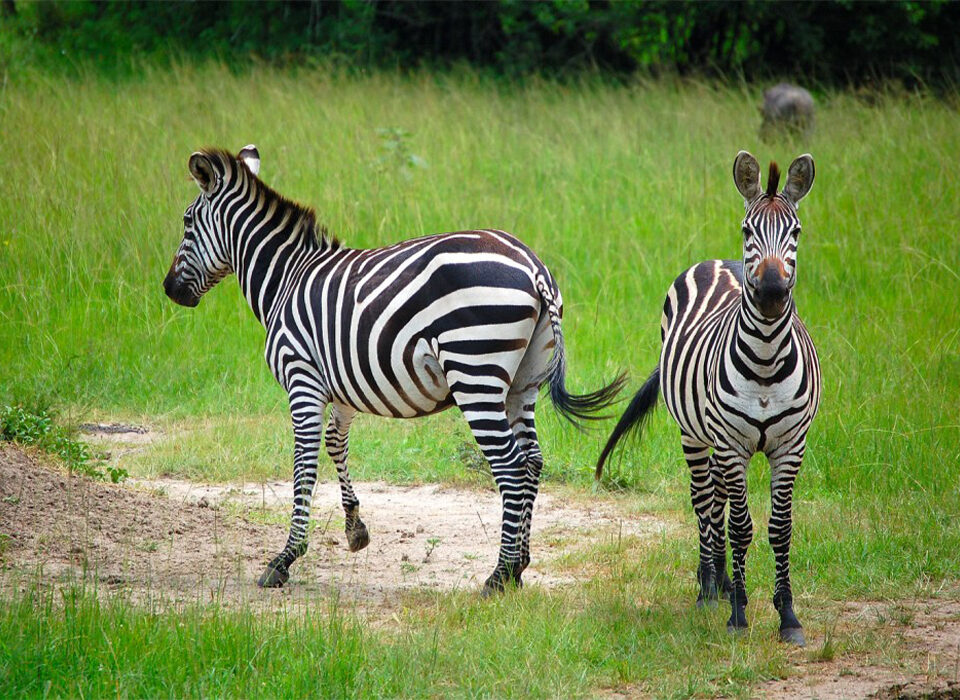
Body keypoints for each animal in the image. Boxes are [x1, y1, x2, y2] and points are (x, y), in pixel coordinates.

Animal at [162, 145, 625, 594]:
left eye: (186, 222)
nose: (169, 290)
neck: (286, 280)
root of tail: (534, 267)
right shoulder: (340, 386)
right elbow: (335, 444)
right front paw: (355, 529)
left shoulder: (302, 378)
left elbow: (303, 464)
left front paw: (285, 559)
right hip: (521, 384)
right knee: (531, 462)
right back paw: (520, 567)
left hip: (474, 373)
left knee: (511, 467)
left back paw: (499, 575)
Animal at [595, 151, 820, 645]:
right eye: (747, 230)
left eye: (795, 232)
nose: (771, 293)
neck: (766, 361)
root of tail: (718, 261)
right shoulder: (732, 444)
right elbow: (740, 526)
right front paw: (738, 614)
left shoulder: (790, 446)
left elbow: (779, 529)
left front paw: (787, 615)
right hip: (696, 434)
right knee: (704, 499)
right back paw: (709, 588)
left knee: (716, 498)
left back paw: (722, 579)